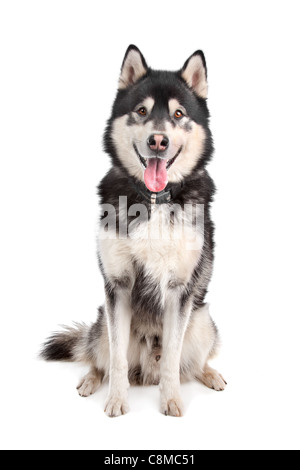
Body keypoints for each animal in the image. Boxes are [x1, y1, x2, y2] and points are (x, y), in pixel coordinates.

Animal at [41, 46, 226, 416]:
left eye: (179, 113)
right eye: (142, 111)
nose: (158, 141)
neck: (153, 200)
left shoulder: (179, 292)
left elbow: (172, 358)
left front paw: (171, 399)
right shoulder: (118, 286)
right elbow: (116, 361)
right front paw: (115, 400)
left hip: (202, 321)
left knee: (192, 364)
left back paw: (210, 374)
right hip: (102, 321)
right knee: (99, 356)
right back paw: (91, 380)